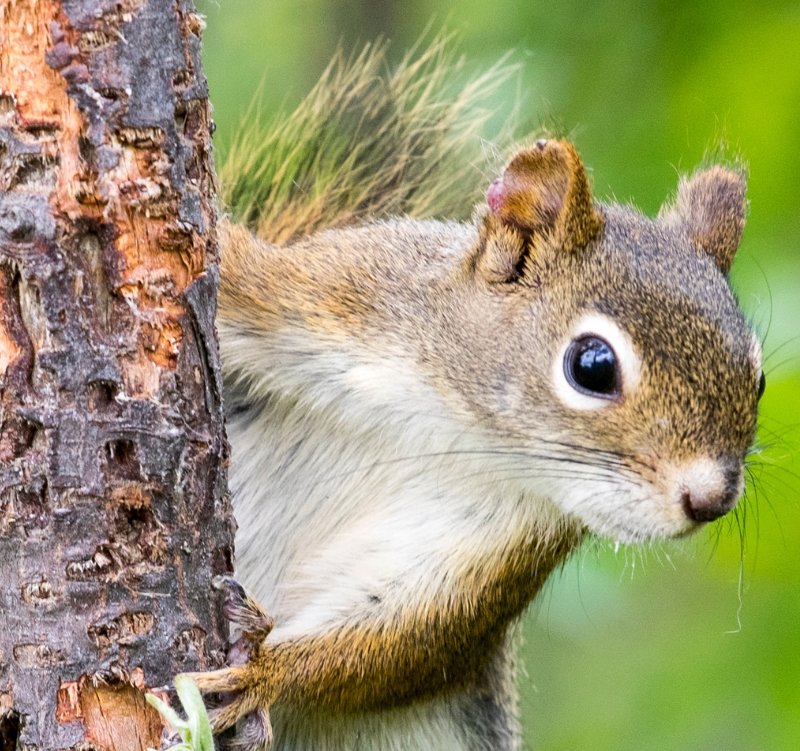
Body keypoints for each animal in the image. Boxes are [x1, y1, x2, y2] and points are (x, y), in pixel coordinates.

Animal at [183, 42, 764, 751]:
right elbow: (242, 275)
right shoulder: (331, 297)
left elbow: (397, 643)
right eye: (593, 366)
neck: (457, 422)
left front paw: (265, 672)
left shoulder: (494, 551)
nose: (710, 501)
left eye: (759, 378)